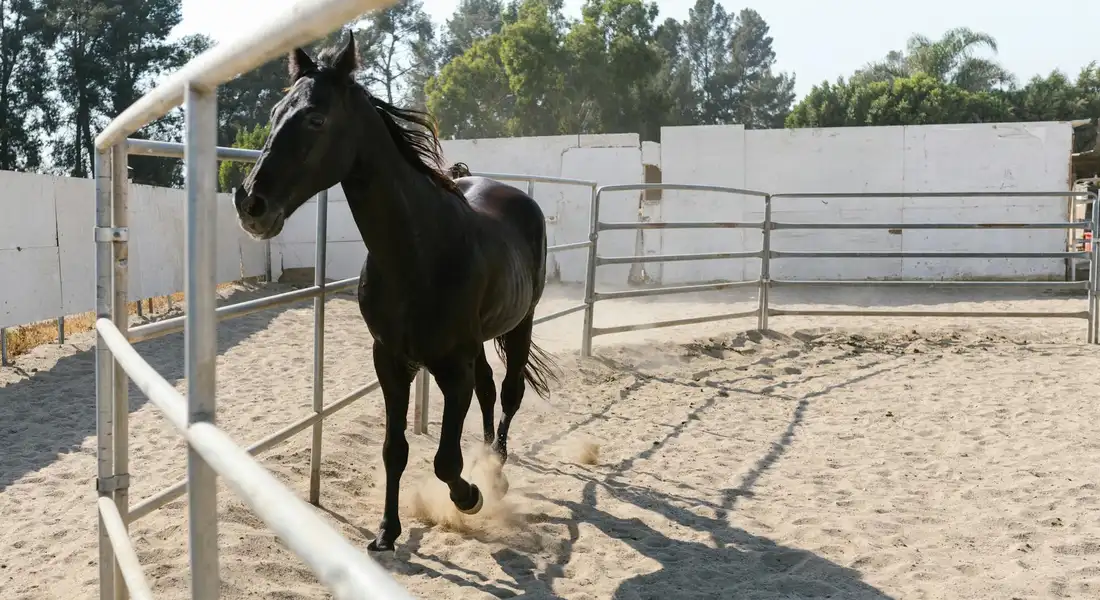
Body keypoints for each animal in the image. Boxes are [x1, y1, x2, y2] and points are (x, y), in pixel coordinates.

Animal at [230, 33, 559, 552]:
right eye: (277, 110)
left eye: (316, 118)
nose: (250, 204)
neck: (419, 255)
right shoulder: (389, 360)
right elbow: (394, 448)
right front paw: (387, 530)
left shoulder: (452, 368)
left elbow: (445, 460)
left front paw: (469, 497)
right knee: (489, 388)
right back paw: (489, 460)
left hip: (519, 324)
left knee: (508, 392)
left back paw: (497, 472)